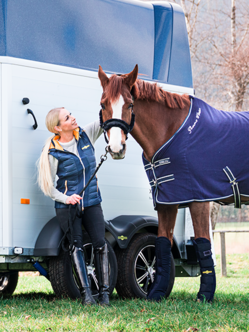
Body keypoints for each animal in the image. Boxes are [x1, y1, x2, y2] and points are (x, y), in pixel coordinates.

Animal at [97, 63, 249, 302]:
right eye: (103, 104)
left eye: (130, 104)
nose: (116, 148)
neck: (171, 132)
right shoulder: (167, 199)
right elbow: (162, 242)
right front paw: (156, 292)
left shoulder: (197, 197)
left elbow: (204, 243)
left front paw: (205, 295)